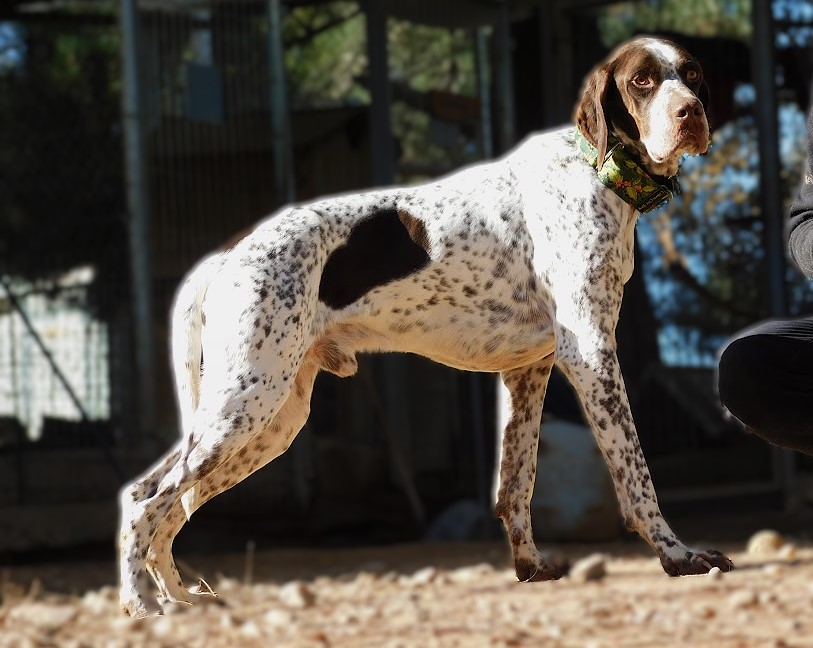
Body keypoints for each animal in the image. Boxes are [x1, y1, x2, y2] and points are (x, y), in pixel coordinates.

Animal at [119, 36, 728, 616]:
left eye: (693, 73)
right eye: (642, 81)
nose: (692, 113)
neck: (595, 172)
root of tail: (230, 250)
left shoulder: (529, 372)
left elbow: (517, 483)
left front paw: (530, 567)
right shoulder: (593, 356)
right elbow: (636, 472)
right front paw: (677, 555)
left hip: (267, 419)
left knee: (156, 497)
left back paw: (177, 598)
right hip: (247, 402)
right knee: (146, 503)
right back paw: (141, 606)